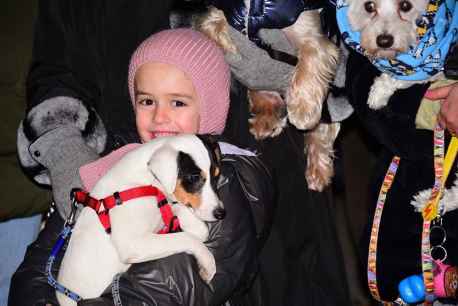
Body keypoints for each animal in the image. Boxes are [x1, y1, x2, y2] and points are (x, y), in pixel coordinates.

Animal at [57, 134, 225, 306]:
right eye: (194, 178)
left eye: (217, 175)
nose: (221, 214)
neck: (148, 181)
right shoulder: (133, 244)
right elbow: (186, 238)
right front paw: (207, 262)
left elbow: (199, 231)